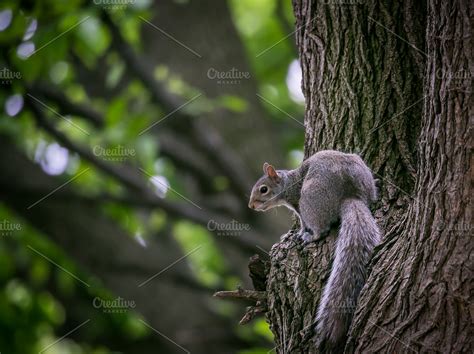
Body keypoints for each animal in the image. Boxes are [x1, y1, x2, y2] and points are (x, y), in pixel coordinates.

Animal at [248, 150, 382, 348]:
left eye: (263, 189)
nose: (251, 206)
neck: (288, 182)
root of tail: (350, 194)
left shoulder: (297, 204)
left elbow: (303, 223)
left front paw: (300, 232)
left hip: (310, 198)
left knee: (321, 229)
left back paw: (311, 236)